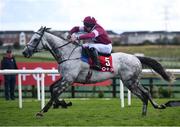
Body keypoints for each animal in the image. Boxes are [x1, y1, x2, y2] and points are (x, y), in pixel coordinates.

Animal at [22, 27, 174, 117]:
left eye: (35, 39)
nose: (24, 52)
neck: (67, 54)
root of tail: (136, 57)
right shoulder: (66, 77)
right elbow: (52, 88)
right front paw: (62, 103)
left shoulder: (69, 79)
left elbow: (55, 92)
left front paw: (43, 110)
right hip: (133, 81)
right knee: (146, 92)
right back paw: (155, 107)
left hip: (130, 81)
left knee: (143, 94)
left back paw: (146, 111)